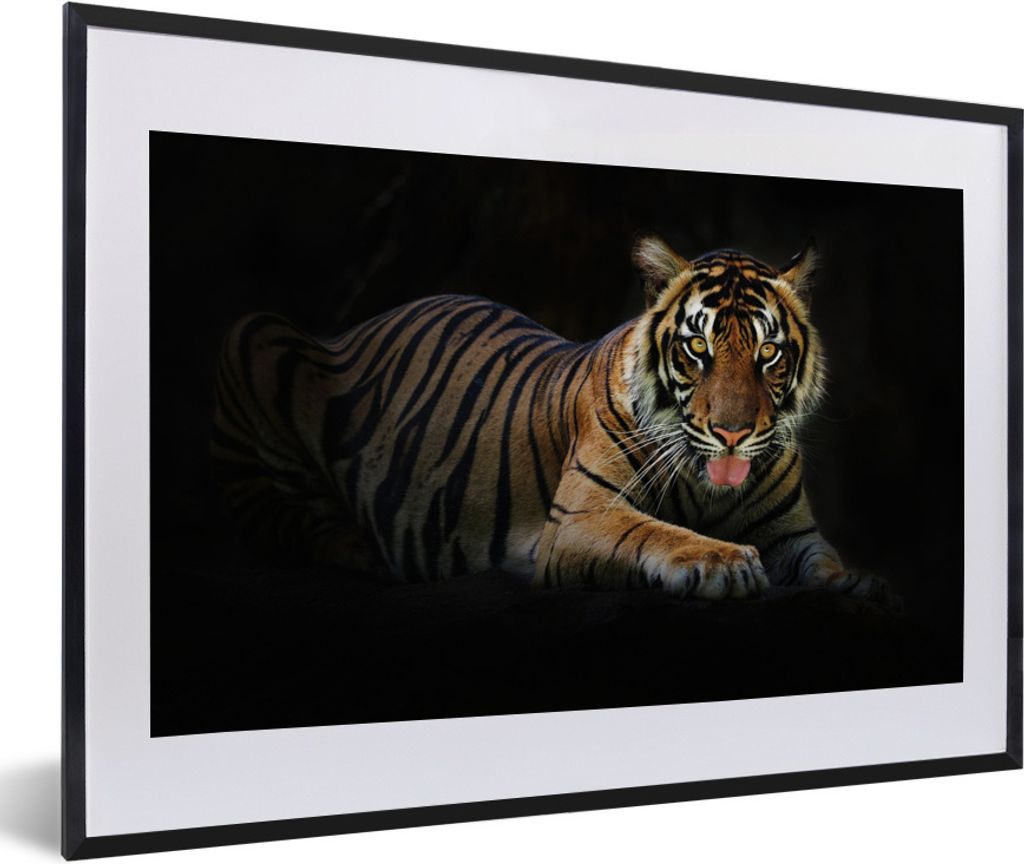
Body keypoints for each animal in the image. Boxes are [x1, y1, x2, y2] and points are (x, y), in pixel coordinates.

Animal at [211, 235, 891, 603]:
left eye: (767, 352)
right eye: (697, 347)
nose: (732, 433)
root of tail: (356, 326)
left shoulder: (791, 533)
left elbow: (822, 560)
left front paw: (860, 582)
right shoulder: (580, 518)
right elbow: (653, 531)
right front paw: (722, 562)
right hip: (255, 334)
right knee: (273, 517)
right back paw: (362, 554)